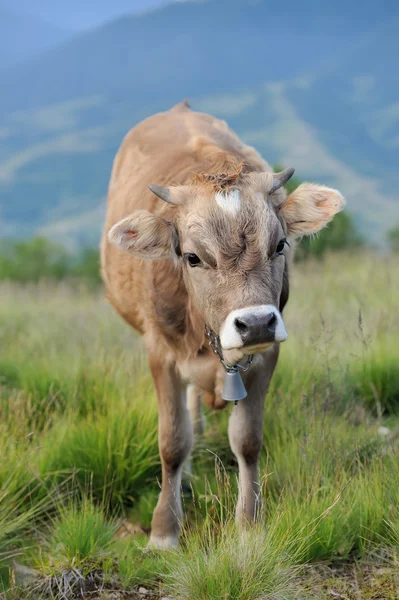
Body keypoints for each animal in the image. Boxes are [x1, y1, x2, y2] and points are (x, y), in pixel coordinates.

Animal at [101, 99, 346, 548]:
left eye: (280, 244)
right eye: (192, 257)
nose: (256, 322)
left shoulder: (267, 354)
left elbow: (247, 440)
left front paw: (249, 525)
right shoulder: (160, 353)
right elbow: (172, 441)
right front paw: (164, 531)